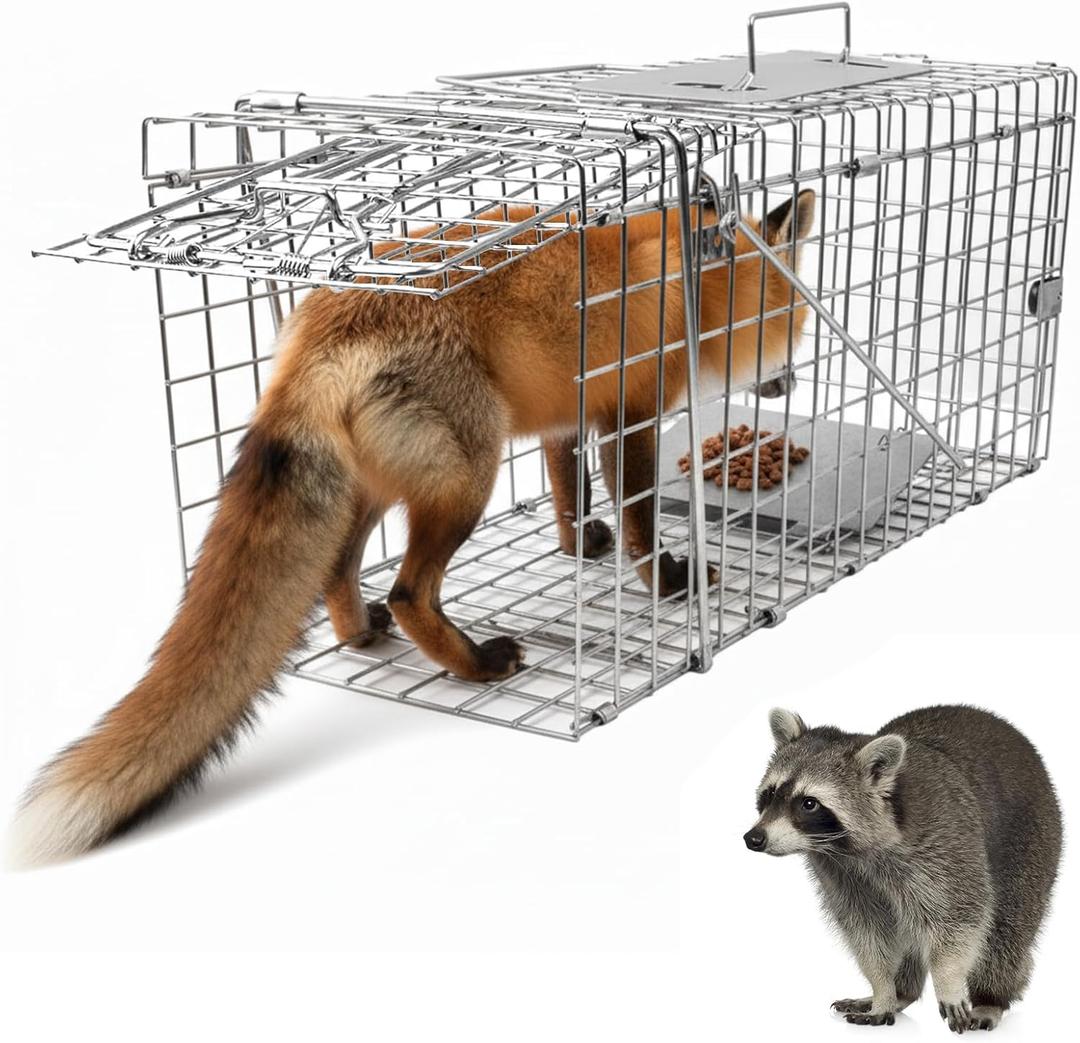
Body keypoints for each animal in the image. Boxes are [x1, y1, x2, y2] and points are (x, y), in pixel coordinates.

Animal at [10, 190, 816, 866]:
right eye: (799, 321)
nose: (790, 384)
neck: (691, 289)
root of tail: (318, 331)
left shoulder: (569, 415)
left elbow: (566, 490)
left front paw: (578, 542)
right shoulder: (631, 414)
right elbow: (643, 520)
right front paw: (671, 583)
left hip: (373, 490)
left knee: (339, 573)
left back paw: (361, 633)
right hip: (468, 479)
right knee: (408, 591)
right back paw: (475, 662)